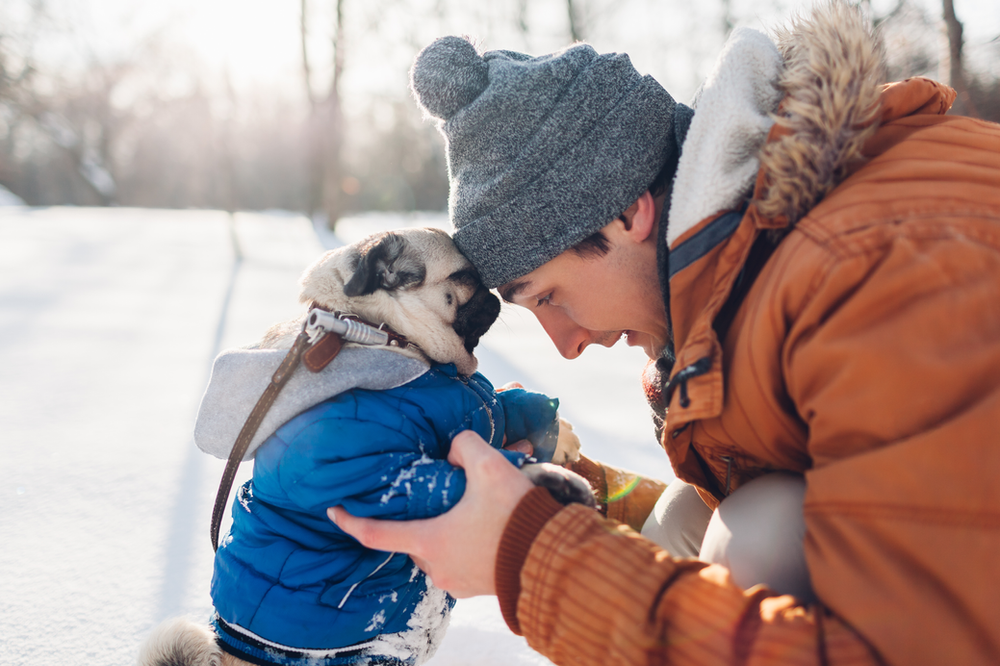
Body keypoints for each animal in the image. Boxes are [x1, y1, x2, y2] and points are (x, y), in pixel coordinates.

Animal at [142, 227, 592, 664]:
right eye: (466, 277)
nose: (494, 293)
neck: (379, 331)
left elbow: (498, 406)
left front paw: (556, 431)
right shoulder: (369, 461)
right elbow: (437, 478)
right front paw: (546, 478)